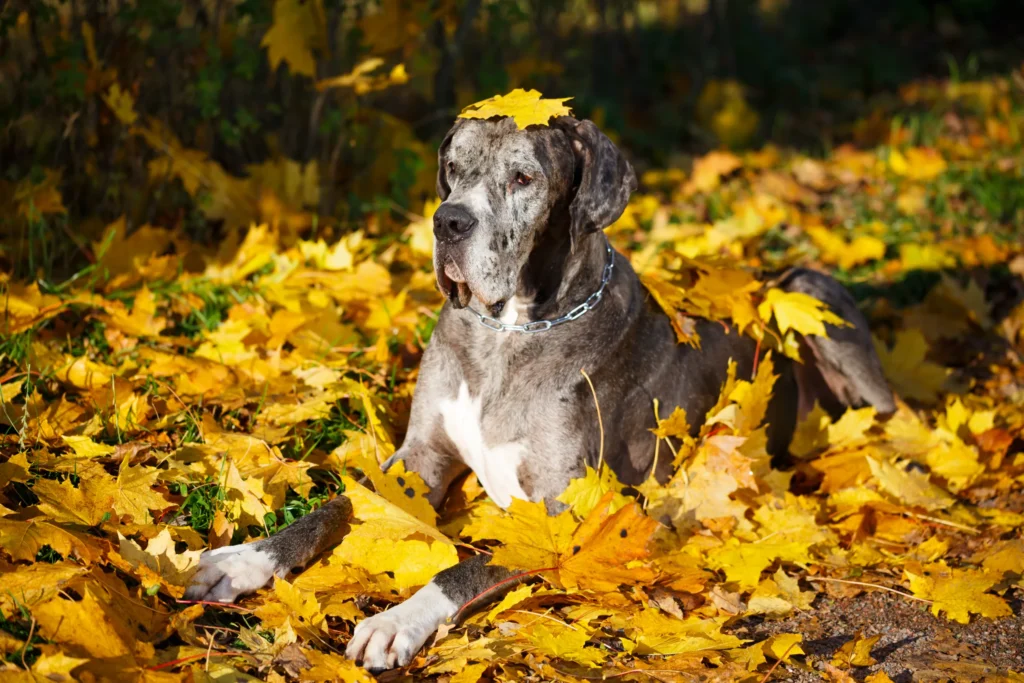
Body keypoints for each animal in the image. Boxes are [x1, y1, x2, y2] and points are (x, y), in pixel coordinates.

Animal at [186, 114, 897, 671]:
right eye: (452, 167)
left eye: (524, 178)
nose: (448, 222)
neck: (508, 333)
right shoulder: (417, 459)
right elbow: (340, 503)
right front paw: (244, 559)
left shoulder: (561, 512)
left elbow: (469, 561)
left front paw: (397, 620)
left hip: (814, 294)